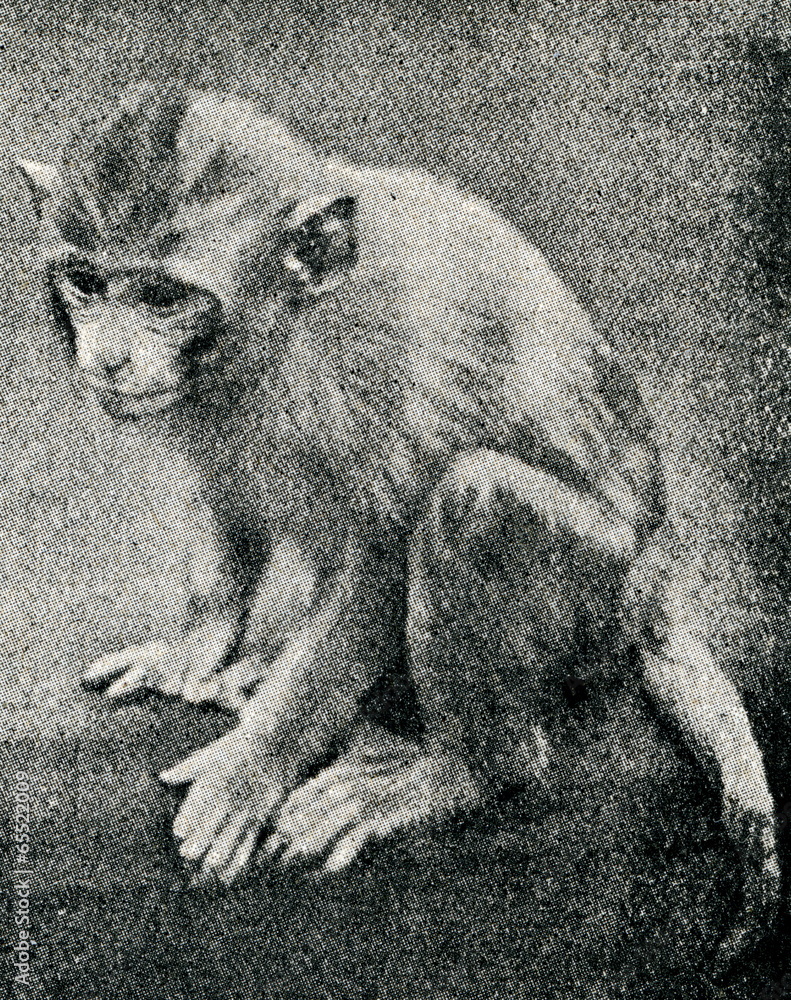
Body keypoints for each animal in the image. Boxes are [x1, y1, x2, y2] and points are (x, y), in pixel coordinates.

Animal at [17, 82, 780, 964]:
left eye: (163, 297)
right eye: (85, 282)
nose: (107, 358)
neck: (292, 325)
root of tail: (655, 592)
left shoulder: (381, 367)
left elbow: (380, 558)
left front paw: (251, 768)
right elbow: (219, 484)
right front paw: (192, 650)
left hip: (599, 604)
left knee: (473, 497)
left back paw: (465, 771)